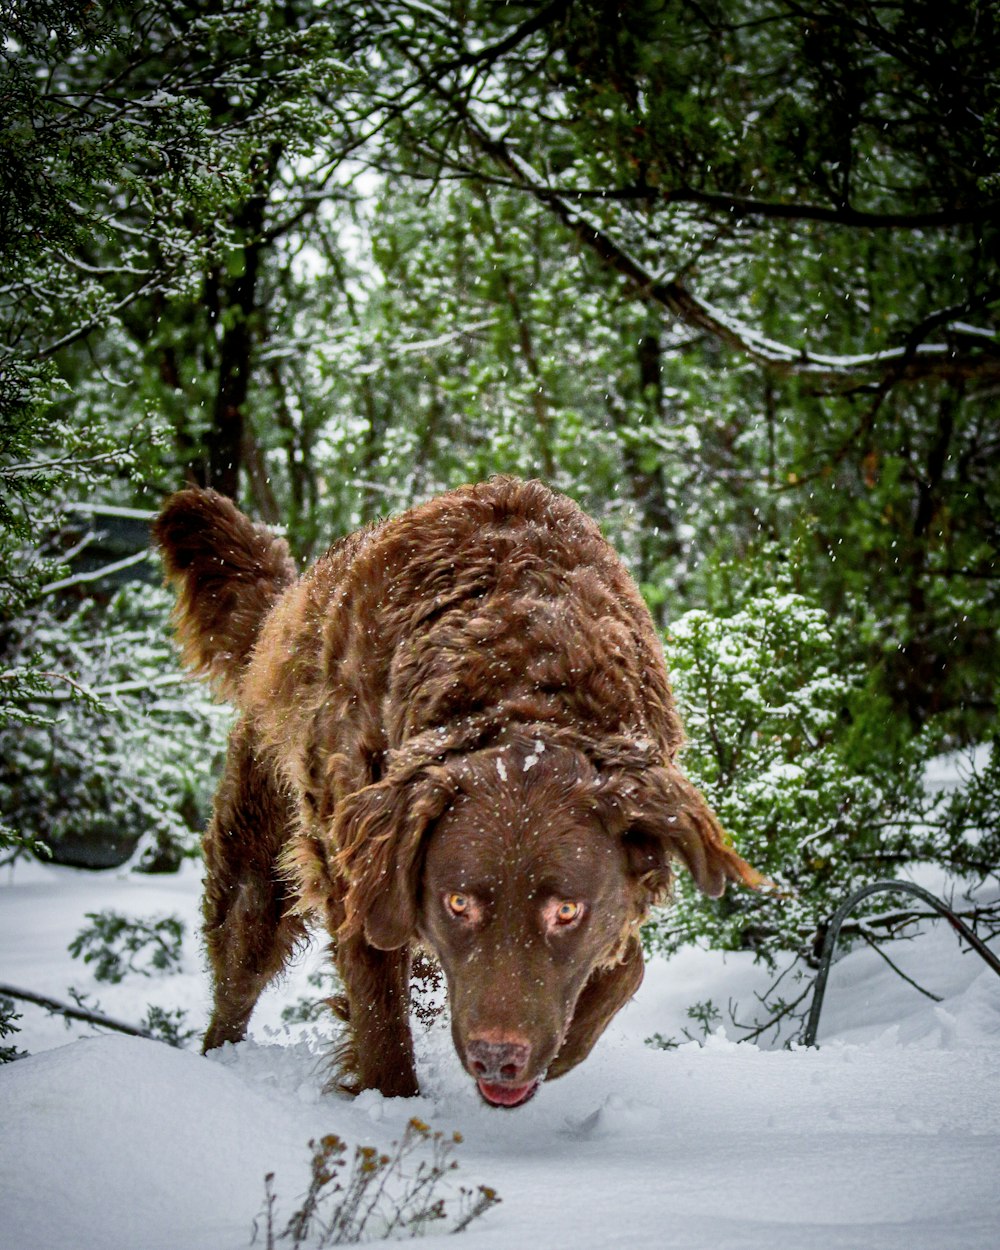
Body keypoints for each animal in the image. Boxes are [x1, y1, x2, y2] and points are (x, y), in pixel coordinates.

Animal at [154, 475, 760, 1105]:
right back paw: (218, 1068)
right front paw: (392, 1107)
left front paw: (565, 1044)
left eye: (567, 910)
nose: (499, 1059)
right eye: (459, 903)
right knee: (238, 974)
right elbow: (382, 1025)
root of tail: (281, 611)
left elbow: (623, 967)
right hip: (258, 861)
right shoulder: (362, 868)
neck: (527, 682)